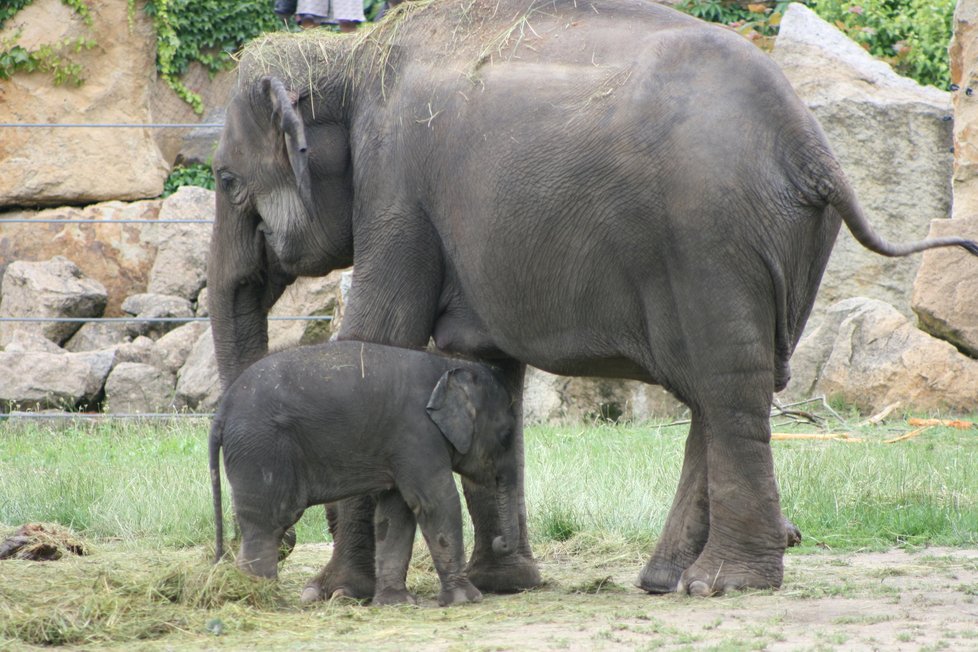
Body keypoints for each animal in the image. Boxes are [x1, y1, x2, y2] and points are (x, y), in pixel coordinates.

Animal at [208, 342, 520, 608]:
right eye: (506, 434)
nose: (501, 542)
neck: (447, 364)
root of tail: (221, 411)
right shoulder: (417, 435)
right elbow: (438, 502)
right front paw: (467, 600)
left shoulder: (400, 447)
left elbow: (395, 513)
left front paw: (396, 603)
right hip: (261, 448)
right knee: (269, 522)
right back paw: (264, 601)